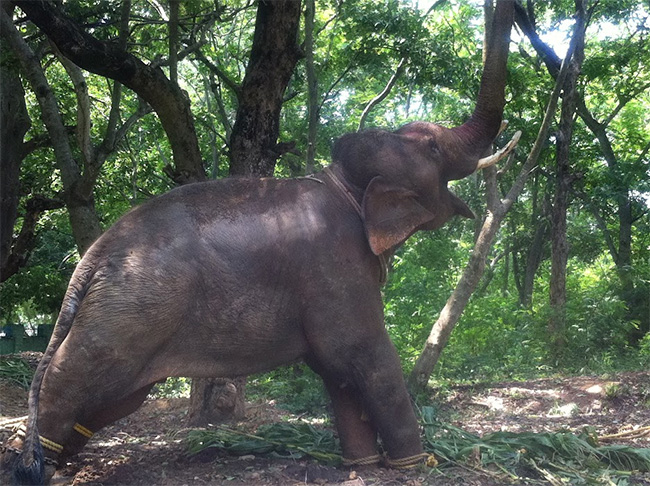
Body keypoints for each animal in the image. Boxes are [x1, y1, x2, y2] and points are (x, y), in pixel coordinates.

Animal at [3, 2, 514, 484]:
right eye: (433, 148)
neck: (341, 183)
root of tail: (91, 257)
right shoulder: (334, 263)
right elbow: (363, 353)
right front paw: (417, 465)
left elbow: (334, 368)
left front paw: (362, 464)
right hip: (130, 309)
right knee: (75, 373)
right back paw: (28, 466)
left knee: (112, 400)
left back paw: (52, 461)